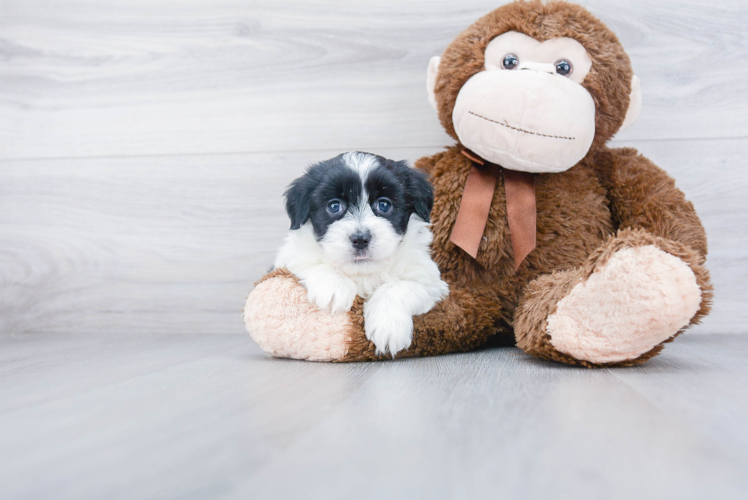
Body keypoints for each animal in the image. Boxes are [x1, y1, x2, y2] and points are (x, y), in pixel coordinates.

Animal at [276, 151, 448, 356]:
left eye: (384, 205)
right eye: (334, 206)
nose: (360, 239)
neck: (363, 273)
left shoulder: (430, 281)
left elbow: (398, 286)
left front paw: (388, 327)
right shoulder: (289, 256)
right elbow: (310, 261)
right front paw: (335, 287)